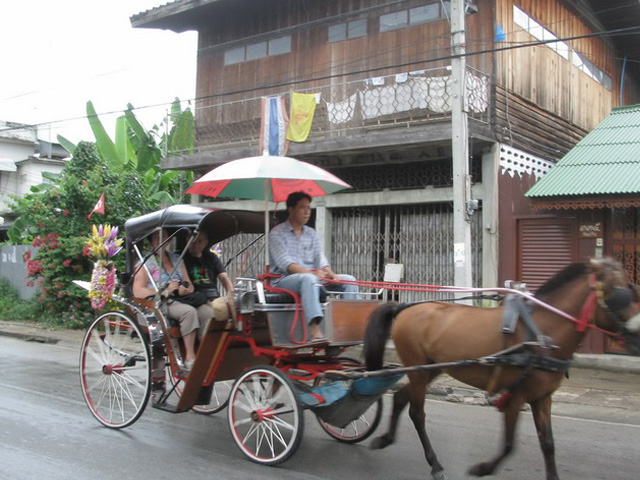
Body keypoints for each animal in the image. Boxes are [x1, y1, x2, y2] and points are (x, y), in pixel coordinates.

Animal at [364, 258, 640, 480]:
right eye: (620, 295)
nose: (637, 336)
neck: (541, 334)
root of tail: (405, 307)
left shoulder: (543, 398)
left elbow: (548, 443)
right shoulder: (517, 396)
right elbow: (509, 443)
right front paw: (483, 468)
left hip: (430, 368)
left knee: (401, 396)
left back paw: (386, 438)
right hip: (418, 369)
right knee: (417, 413)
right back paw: (435, 464)